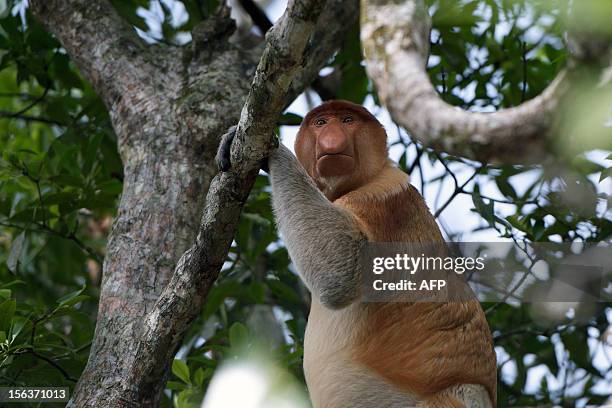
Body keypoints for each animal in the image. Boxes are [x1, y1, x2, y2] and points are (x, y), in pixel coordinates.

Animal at [218, 100, 494, 406]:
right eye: (321, 123)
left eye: (348, 120)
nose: (331, 139)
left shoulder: (380, 197)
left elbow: (342, 268)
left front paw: (274, 151)